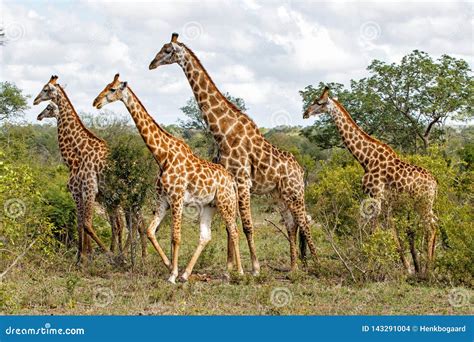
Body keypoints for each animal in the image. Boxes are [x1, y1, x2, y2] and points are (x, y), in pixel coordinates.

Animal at [33, 75, 113, 262]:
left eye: (46, 89)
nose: (35, 102)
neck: (75, 157)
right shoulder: (81, 192)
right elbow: (81, 222)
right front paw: (82, 256)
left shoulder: (87, 189)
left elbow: (86, 223)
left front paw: (87, 256)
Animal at [91, 73, 244, 284]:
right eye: (106, 86)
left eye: (112, 89)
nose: (95, 102)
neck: (162, 156)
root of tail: (231, 180)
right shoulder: (163, 199)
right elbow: (150, 231)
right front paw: (170, 266)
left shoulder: (177, 198)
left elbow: (175, 237)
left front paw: (172, 275)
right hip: (209, 206)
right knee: (206, 236)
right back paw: (187, 274)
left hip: (225, 202)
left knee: (234, 231)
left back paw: (239, 273)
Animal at [148, 32, 318, 272]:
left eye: (167, 50)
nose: (151, 64)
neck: (222, 130)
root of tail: (301, 170)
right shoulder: (229, 181)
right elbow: (231, 225)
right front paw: (230, 268)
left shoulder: (242, 180)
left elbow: (246, 225)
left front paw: (254, 268)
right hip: (278, 194)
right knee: (291, 223)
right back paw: (293, 267)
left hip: (295, 192)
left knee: (304, 222)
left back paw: (318, 264)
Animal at [302, 86, 438, 276]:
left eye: (319, 102)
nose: (305, 113)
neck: (366, 158)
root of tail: (435, 183)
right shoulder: (385, 200)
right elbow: (391, 230)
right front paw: (407, 267)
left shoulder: (376, 195)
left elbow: (374, 230)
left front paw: (369, 264)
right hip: (427, 204)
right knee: (435, 224)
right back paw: (428, 267)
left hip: (422, 203)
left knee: (430, 227)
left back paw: (428, 270)